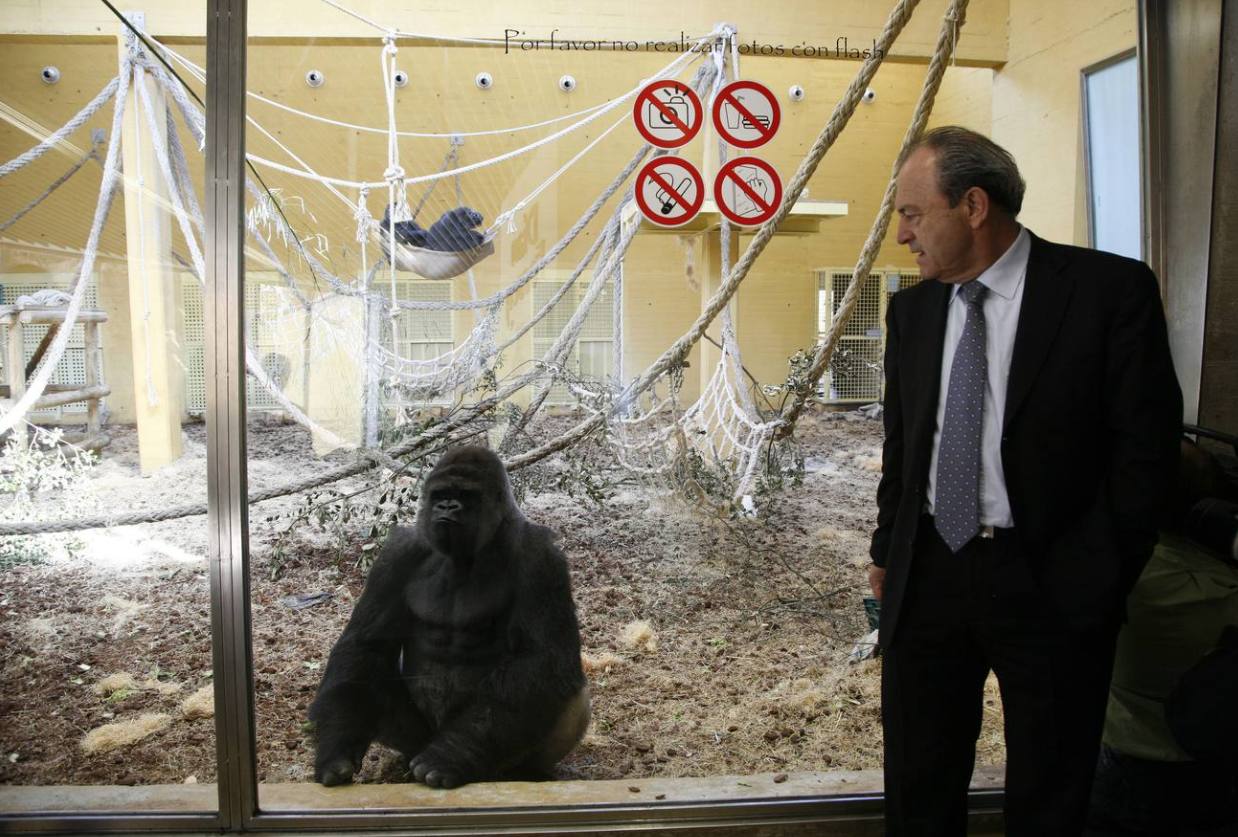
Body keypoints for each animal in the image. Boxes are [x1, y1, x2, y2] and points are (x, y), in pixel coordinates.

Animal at [309, 448, 589, 787]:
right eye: (441, 495)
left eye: (466, 496)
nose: (446, 507)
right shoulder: (398, 552)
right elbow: (365, 647)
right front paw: (336, 747)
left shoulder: (542, 558)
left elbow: (544, 658)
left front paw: (452, 754)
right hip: (420, 738)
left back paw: (527, 771)